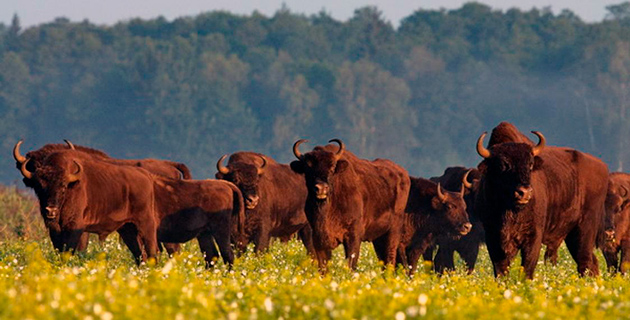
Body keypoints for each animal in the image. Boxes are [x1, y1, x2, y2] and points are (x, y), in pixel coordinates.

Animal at [290, 139, 410, 270]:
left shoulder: (353, 236)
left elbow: (351, 264)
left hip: (392, 232)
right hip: (378, 238)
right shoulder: (318, 239)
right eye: (307, 168)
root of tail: (404, 174)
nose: (321, 188)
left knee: (390, 259)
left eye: (332, 167)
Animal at [476, 124, 608, 278]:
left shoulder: (533, 236)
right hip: (571, 235)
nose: (524, 192)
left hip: (585, 229)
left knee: (585, 260)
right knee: (591, 261)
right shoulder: (492, 237)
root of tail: (603, 167)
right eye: (502, 165)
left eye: (530, 164)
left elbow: (527, 268)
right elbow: (500, 270)